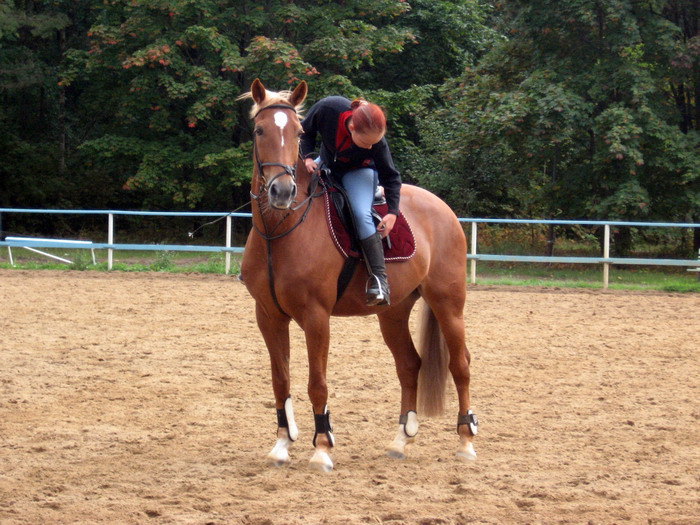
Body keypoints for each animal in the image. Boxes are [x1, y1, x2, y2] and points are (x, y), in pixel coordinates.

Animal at [239, 77, 476, 470]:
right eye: (259, 130)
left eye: (298, 131)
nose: (282, 191)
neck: (282, 231)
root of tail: (442, 208)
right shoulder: (268, 316)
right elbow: (280, 380)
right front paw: (282, 444)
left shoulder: (316, 316)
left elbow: (316, 383)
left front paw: (322, 448)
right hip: (393, 313)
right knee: (409, 365)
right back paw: (400, 440)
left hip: (448, 304)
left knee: (460, 365)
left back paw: (466, 440)